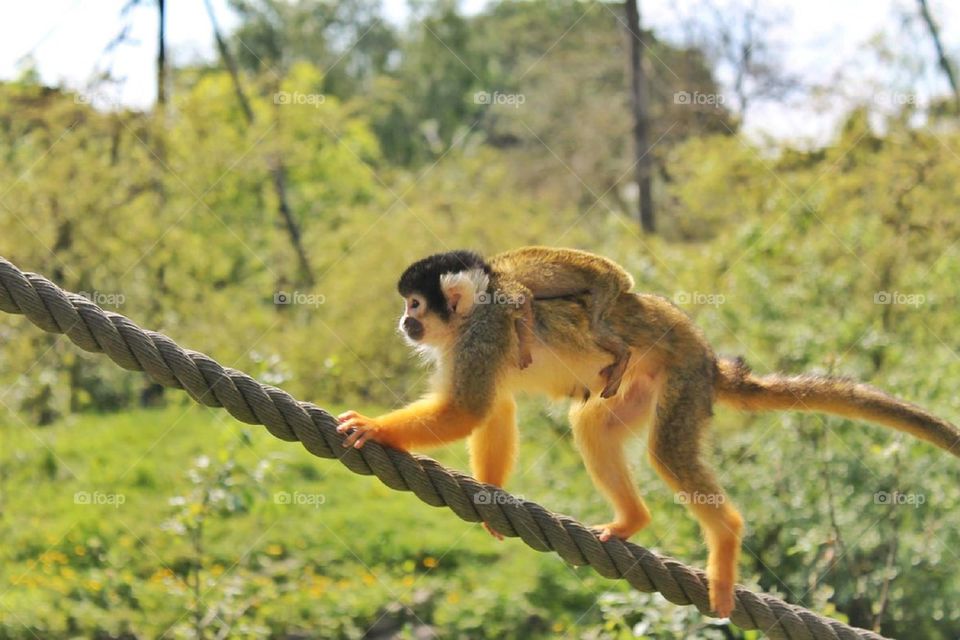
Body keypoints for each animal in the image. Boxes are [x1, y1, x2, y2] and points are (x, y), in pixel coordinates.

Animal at [488, 248, 636, 398]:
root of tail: (620, 273)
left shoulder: (498, 283)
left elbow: (524, 297)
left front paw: (524, 350)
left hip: (607, 283)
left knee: (595, 328)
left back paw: (624, 354)